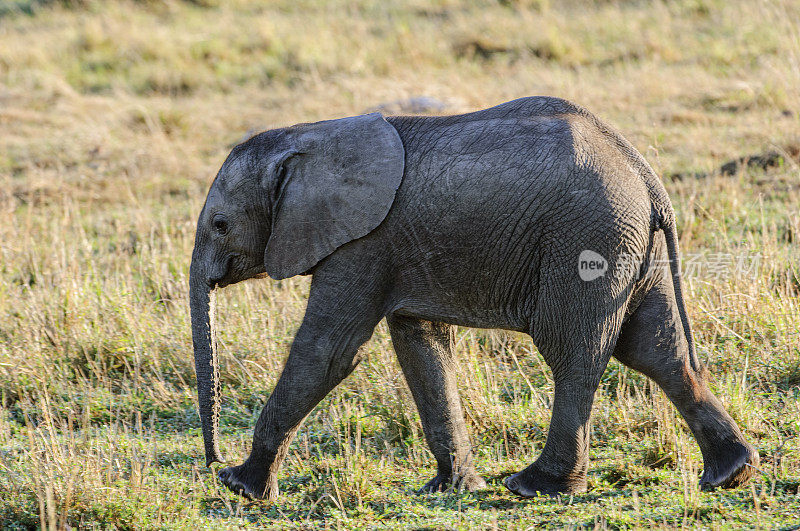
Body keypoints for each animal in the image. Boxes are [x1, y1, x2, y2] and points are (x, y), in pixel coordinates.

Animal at [188, 97, 756, 500]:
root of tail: (648, 179)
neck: (311, 135)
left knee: (573, 354)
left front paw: (241, 487)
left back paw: (535, 487)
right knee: (658, 352)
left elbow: (328, 352)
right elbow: (421, 349)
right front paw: (451, 488)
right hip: (633, 246)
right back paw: (729, 474)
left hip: (588, 239)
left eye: (220, 225)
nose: (213, 461)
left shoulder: (363, 246)